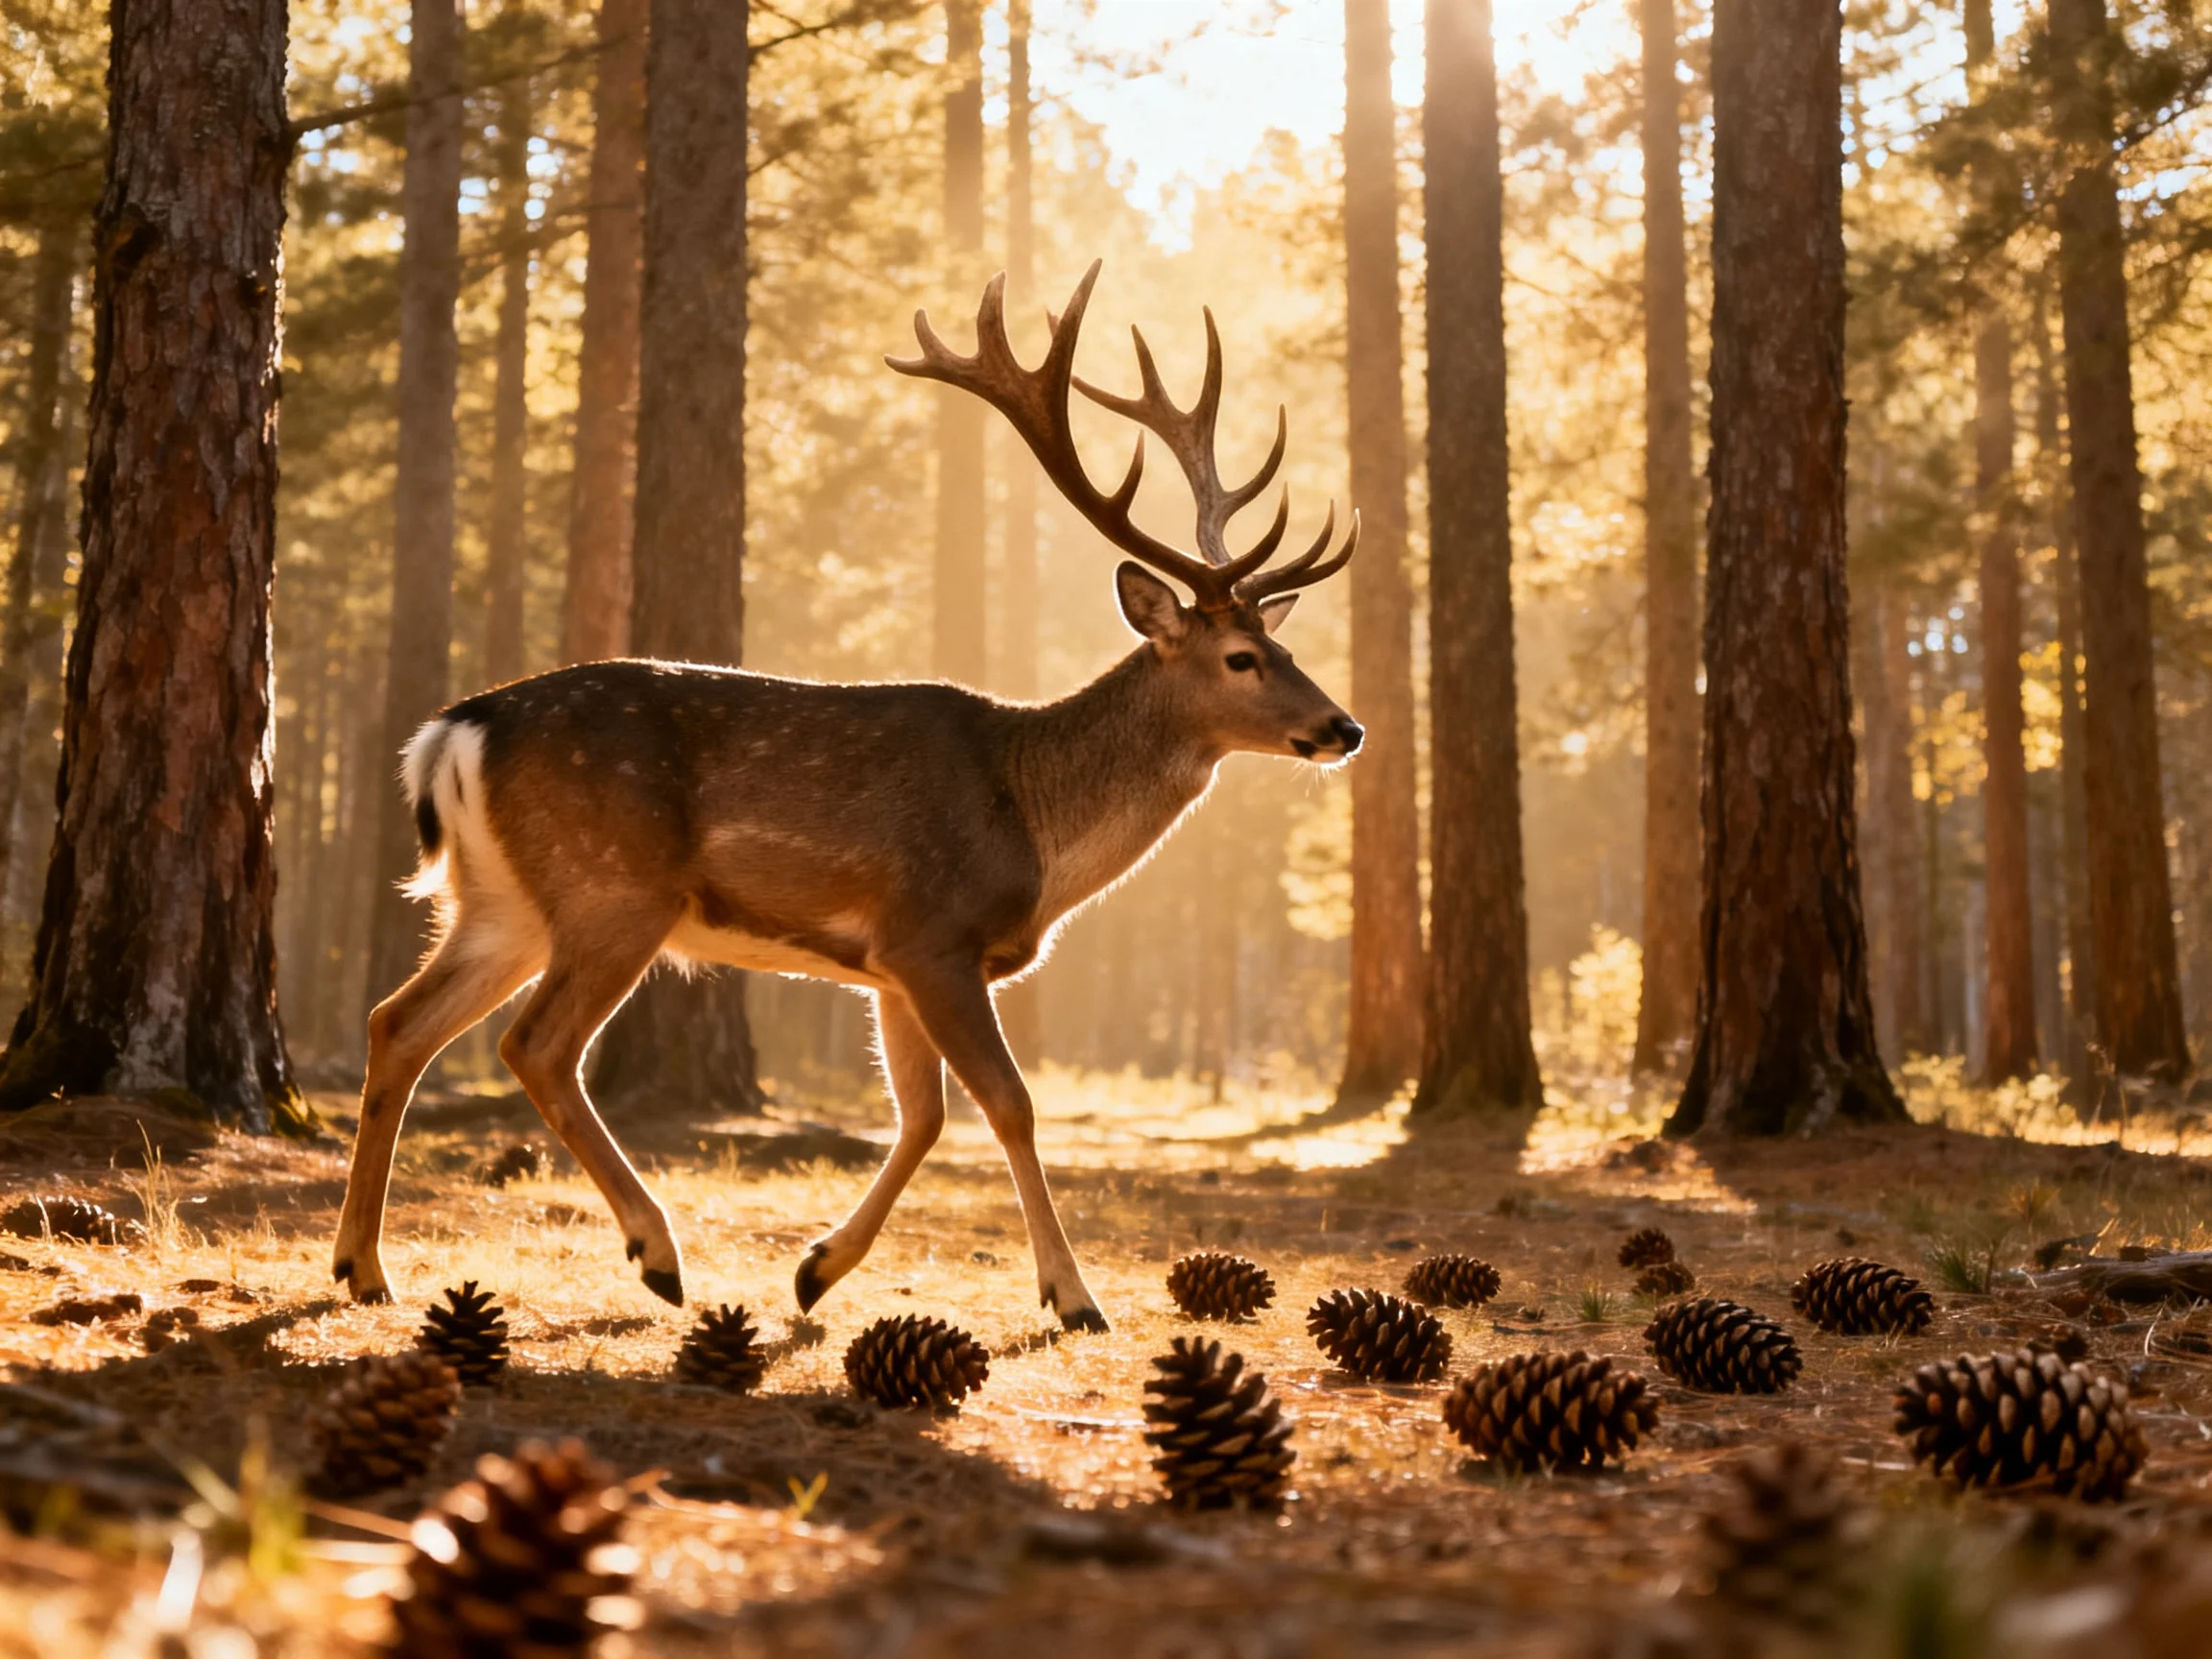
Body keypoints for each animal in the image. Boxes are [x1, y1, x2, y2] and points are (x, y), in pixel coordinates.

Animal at [329, 261, 1362, 1333]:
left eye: (1285, 645)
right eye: (1242, 658)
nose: (1344, 728)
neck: (1035, 826)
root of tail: (453, 731)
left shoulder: (891, 967)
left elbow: (924, 1116)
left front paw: (816, 1270)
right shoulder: (932, 935)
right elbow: (1009, 1104)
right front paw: (1073, 1297)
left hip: (504, 904)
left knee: (398, 1023)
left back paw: (364, 1267)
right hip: (614, 890)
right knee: (534, 1044)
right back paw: (656, 1253)